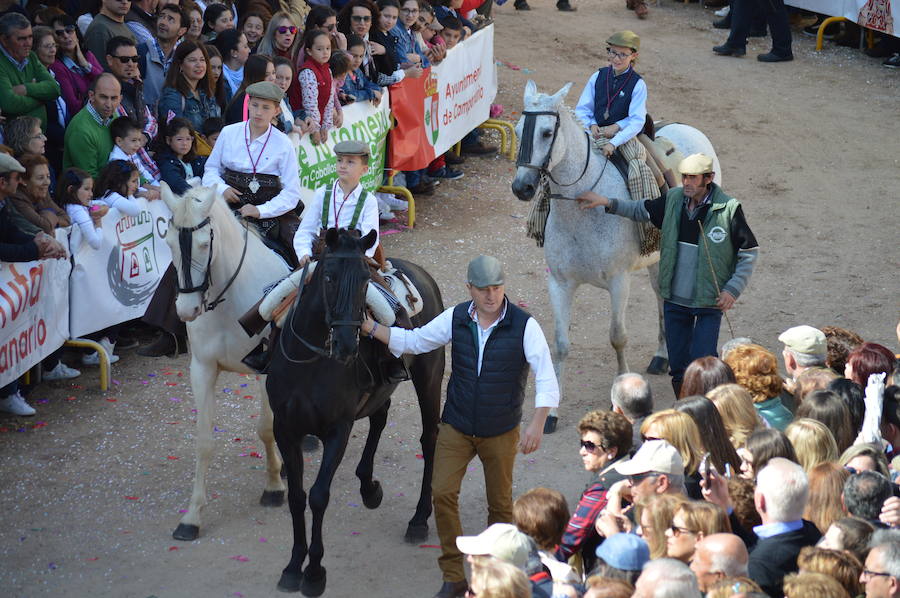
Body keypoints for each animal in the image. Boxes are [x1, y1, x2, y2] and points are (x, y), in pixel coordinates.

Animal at [158, 183, 292, 544]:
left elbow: (266, 428)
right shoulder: (202, 370)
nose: (186, 310)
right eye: (169, 243)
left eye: (205, 244)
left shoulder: (265, 368)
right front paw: (191, 517)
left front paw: (274, 487)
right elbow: (204, 441)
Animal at [268, 229, 446, 596]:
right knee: (380, 416)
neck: (309, 364)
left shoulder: (337, 429)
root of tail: (420, 272)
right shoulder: (285, 429)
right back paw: (369, 487)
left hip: (429, 376)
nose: (349, 344)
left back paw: (419, 519)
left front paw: (314, 573)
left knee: (429, 438)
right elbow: (296, 496)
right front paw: (293, 567)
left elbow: (318, 496)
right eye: (329, 277)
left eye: (365, 280)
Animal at [510, 81, 720, 426]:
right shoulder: (559, 283)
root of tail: (689, 129)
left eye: (546, 132)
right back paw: (661, 357)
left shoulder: (619, 281)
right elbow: (560, 343)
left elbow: (617, 336)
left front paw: (621, 392)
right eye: (517, 130)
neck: (579, 209)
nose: (521, 188)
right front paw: (551, 413)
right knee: (661, 297)